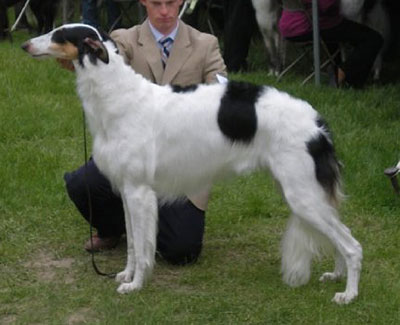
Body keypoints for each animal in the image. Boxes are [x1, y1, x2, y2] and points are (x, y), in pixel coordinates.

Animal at [22, 24, 362, 302]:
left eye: (58, 34)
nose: (25, 45)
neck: (118, 97)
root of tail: (317, 121)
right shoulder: (126, 191)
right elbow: (132, 245)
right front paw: (125, 275)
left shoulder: (139, 192)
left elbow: (142, 248)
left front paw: (135, 285)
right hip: (299, 190)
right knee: (342, 233)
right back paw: (336, 275)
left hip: (302, 194)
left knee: (352, 245)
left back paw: (348, 294)